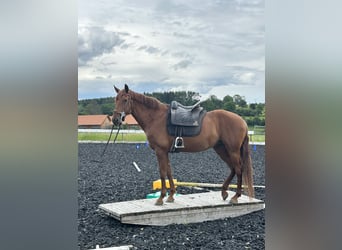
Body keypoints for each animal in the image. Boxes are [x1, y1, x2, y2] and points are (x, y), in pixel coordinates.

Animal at [112, 84, 254, 205]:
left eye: (125, 100)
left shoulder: (160, 151)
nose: (115, 120)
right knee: (233, 168)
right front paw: (170, 196)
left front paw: (161, 198)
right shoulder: (165, 152)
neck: (155, 118)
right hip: (221, 149)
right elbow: (169, 172)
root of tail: (242, 121)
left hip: (232, 150)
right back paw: (224, 192)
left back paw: (235, 197)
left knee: (239, 169)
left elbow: (162, 172)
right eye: (116, 99)